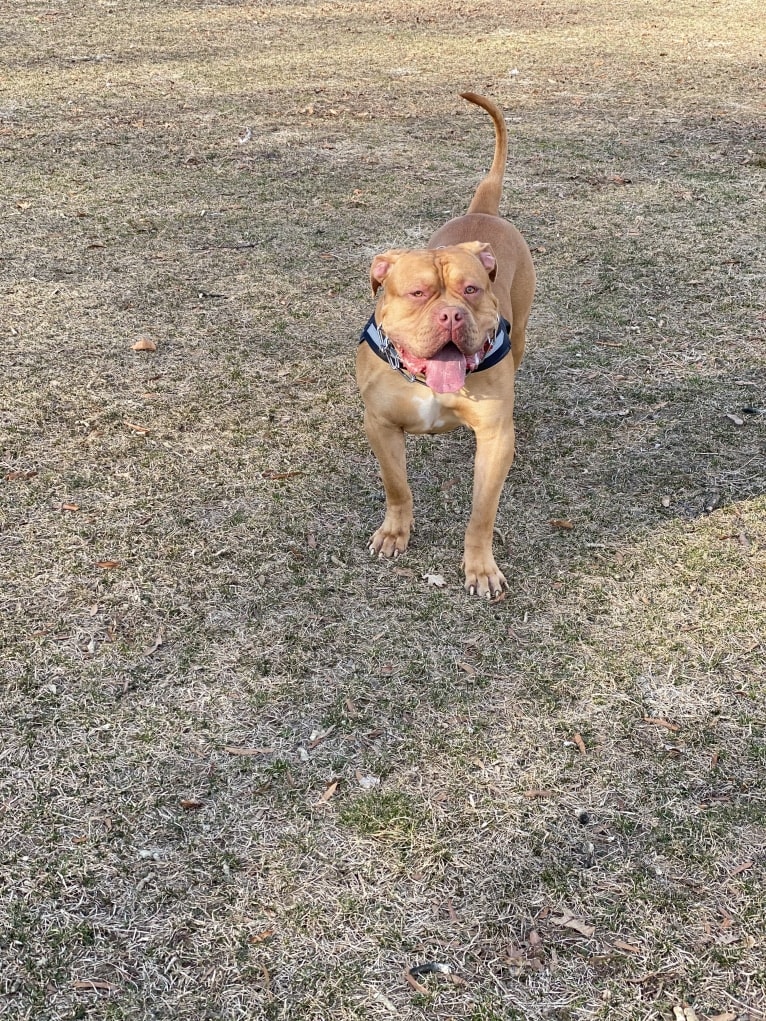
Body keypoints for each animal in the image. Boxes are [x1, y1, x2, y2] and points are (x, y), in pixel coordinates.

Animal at [357, 93, 535, 596]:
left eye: (470, 290)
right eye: (418, 292)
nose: (451, 314)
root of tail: (484, 211)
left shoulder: (494, 439)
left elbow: (482, 513)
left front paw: (480, 567)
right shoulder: (380, 425)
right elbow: (397, 486)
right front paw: (394, 533)